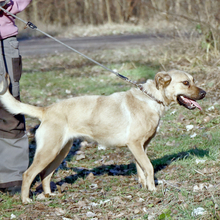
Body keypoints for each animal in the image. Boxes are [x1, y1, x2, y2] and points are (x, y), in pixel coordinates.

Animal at [0, 70, 205, 203]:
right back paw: (26, 200)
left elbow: (141, 170)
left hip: (60, 152)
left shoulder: (141, 147)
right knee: (28, 174)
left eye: (194, 80)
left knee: (45, 175)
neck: (151, 98)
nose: (204, 93)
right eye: (185, 83)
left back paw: (50, 195)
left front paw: (145, 188)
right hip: (48, 151)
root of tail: (46, 110)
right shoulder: (135, 144)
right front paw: (153, 189)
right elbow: (149, 167)